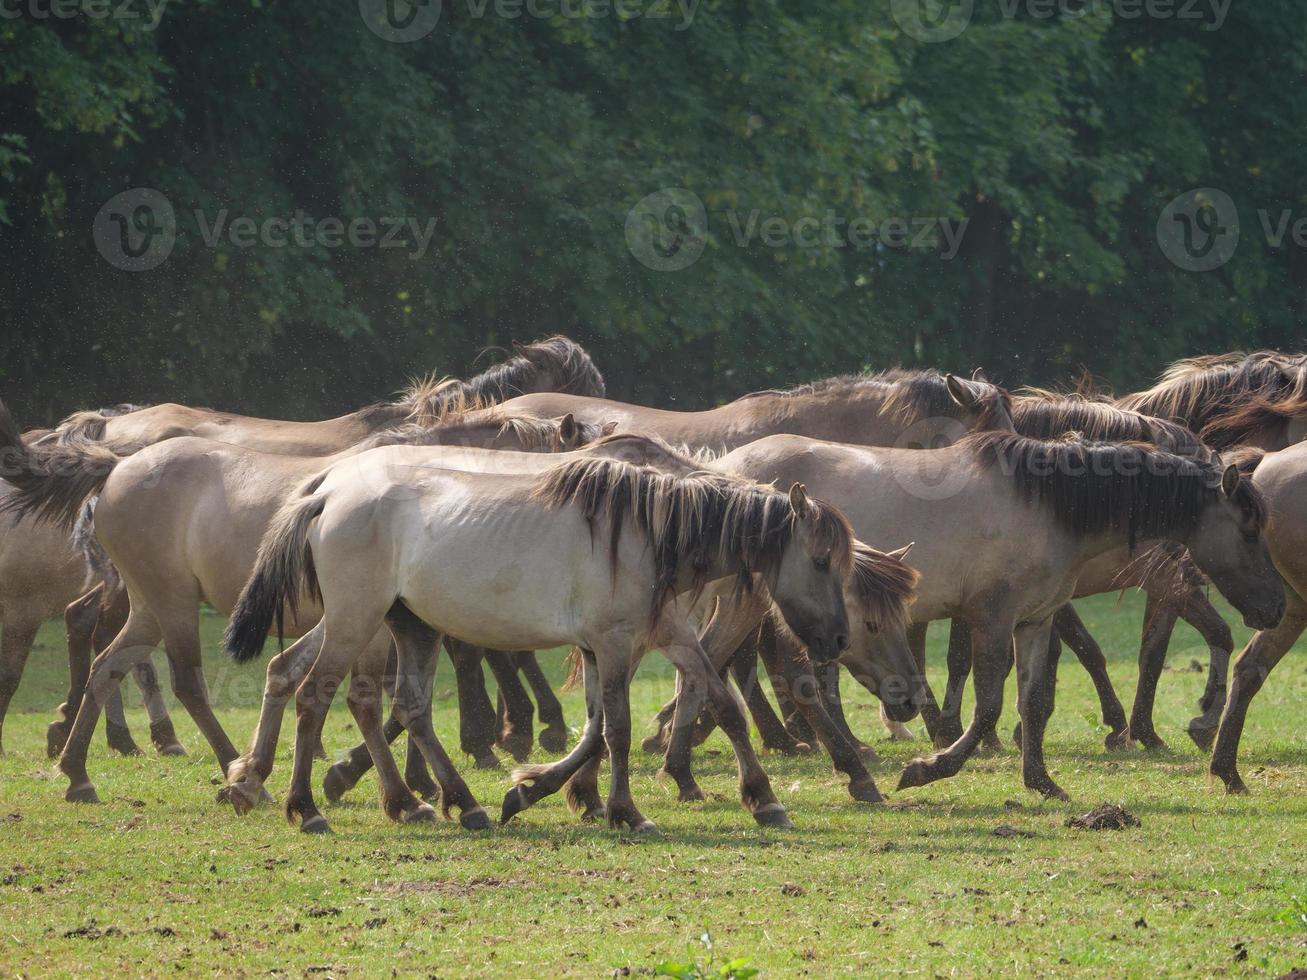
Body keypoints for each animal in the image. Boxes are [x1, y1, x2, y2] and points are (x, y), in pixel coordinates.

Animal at [0, 399, 601, 804]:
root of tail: (116, 464)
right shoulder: (375, 626)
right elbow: (384, 698)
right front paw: (396, 783)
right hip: (171, 605)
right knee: (185, 683)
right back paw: (234, 770)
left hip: (150, 607)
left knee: (107, 667)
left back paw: (79, 774)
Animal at [223, 457, 857, 831]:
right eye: (821, 559)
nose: (838, 638)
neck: (647, 533)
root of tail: (329, 493)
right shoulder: (615, 643)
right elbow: (616, 729)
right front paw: (624, 812)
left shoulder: (660, 636)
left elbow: (714, 708)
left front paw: (763, 799)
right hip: (358, 619)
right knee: (316, 695)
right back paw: (306, 808)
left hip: (406, 625)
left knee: (392, 703)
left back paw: (447, 804)